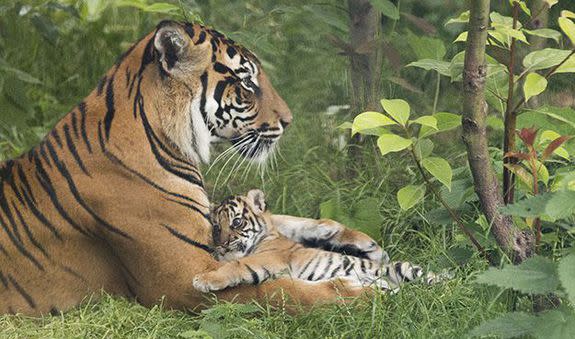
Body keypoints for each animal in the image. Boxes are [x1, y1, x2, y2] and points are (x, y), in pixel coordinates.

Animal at [0, 20, 376, 316]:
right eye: (247, 83)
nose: (288, 120)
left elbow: (277, 221)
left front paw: (351, 238)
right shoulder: (182, 278)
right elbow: (275, 290)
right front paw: (358, 293)